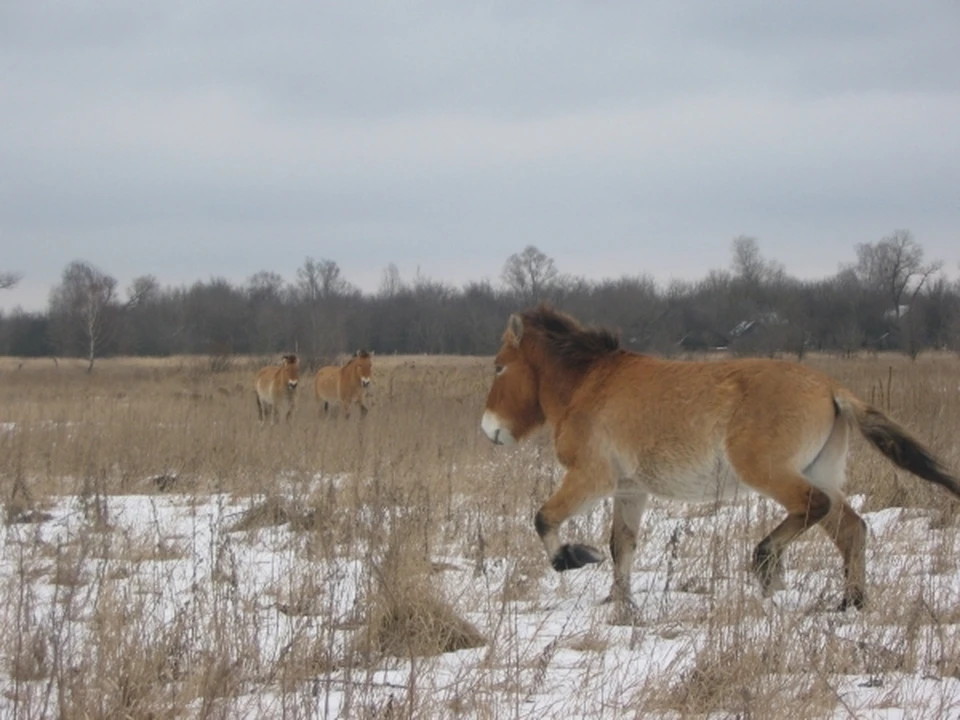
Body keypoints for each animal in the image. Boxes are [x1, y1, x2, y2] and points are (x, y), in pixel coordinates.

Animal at [484, 306, 956, 616]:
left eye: (499, 367)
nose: (489, 429)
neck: (588, 385)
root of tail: (831, 388)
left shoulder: (589, 478)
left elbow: (544, 519)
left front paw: (574, 557)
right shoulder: (630, 490)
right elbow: (622, 546)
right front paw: (620, 605)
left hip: (771, 473)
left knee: (813, 507)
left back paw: (767, 564)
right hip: (820, 473)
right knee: (852, 530)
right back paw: (849, 605)